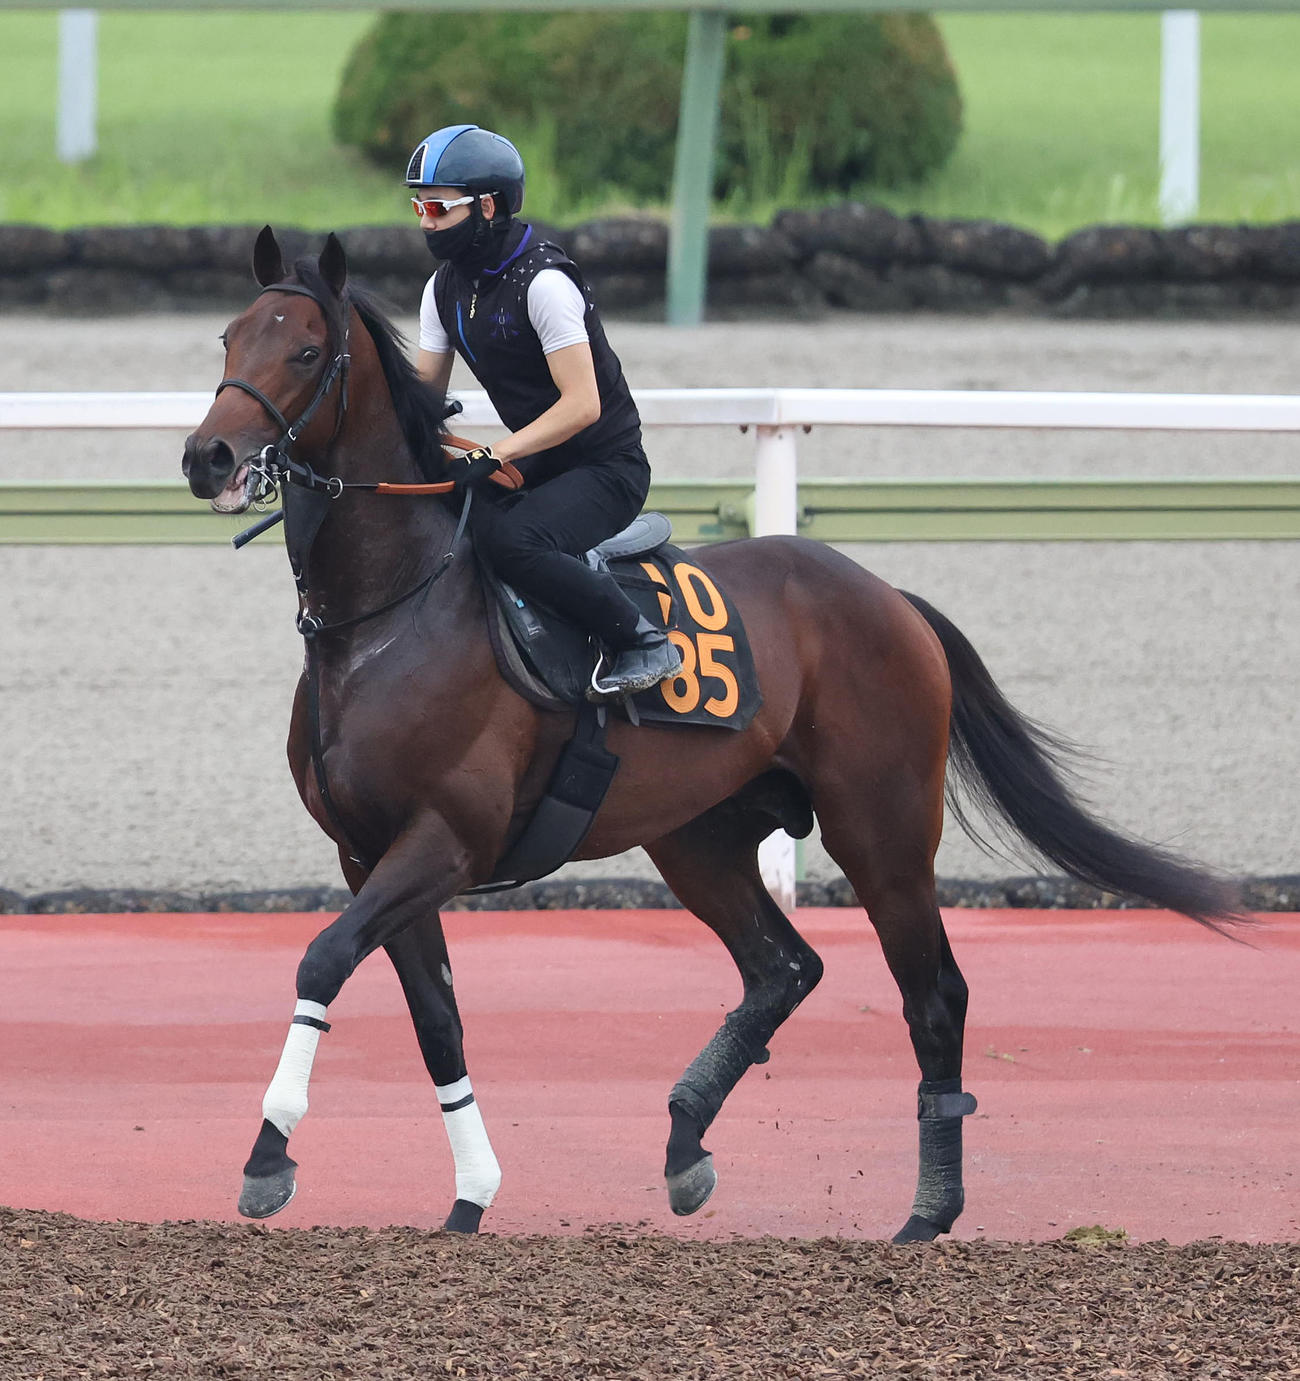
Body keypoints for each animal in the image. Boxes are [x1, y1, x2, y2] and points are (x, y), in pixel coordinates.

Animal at [182, 228, 1242, 1242]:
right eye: (228, 338)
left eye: (305, 349)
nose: (208, 457)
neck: (387, 615)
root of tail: (889, 597)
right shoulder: (370, 853)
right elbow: (434, 1016)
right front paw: (470, 1193)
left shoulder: (446, 839)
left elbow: (323, 958)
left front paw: (268, 1155)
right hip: (700, 834)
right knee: (784, 967)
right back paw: (687, 1137)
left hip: (882, 831)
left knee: (932, 995)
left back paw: (926, 1210)